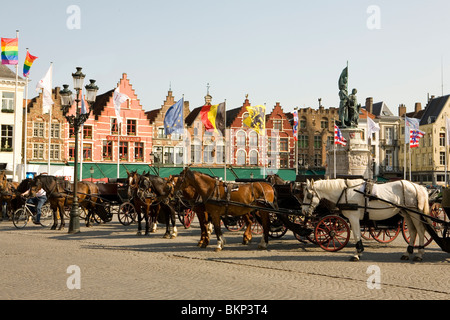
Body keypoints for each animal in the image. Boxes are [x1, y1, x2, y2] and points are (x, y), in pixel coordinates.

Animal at [300, 179, 430, 262]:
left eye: (308, 196)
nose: (303, 211)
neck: (345, 192)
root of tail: (418, 186)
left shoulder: (353, 217)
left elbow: (357, 234)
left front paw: (357, 253)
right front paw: (359, 252)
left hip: (414, 213)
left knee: (420, 230)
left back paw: (419, 254)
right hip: (407, 213)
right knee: (413, 231)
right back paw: (407, 253)